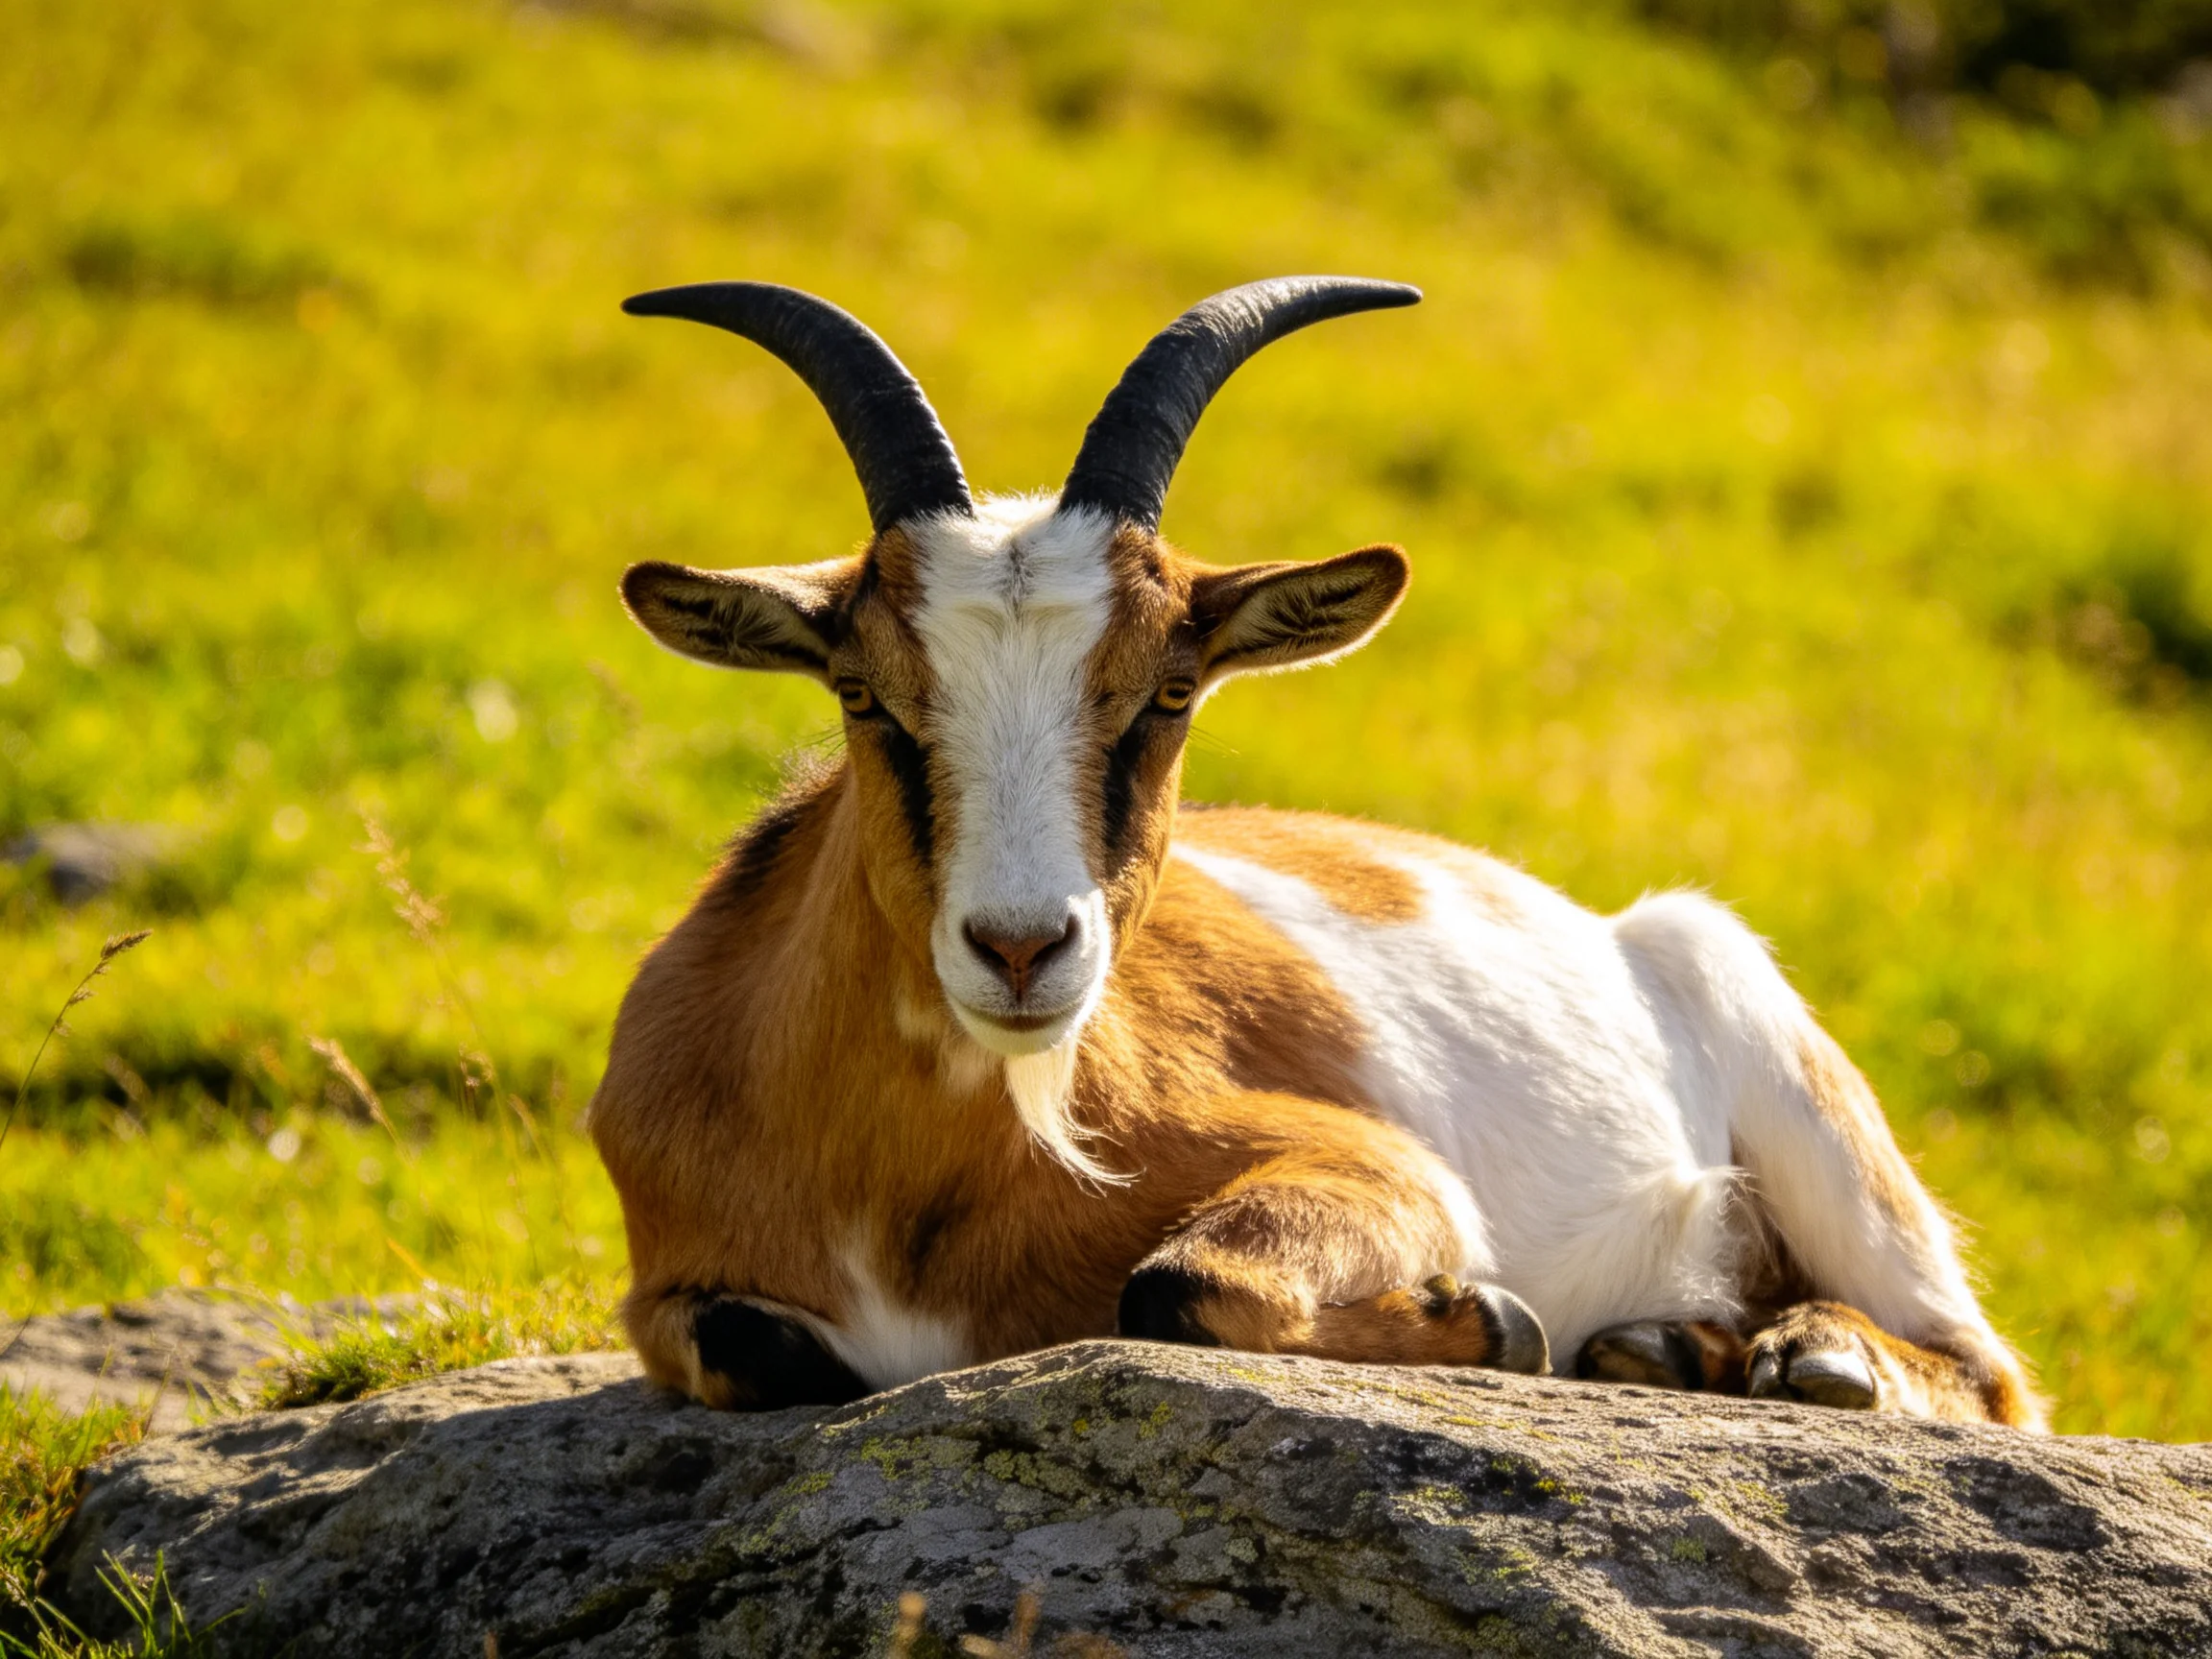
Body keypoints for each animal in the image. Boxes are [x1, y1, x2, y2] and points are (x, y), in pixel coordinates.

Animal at [589, 277, 2042, 1428]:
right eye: (865, 693)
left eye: (1170, 692)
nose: (1021, 948)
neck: (906, 1187)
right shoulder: (678, 1286)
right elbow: (756, 1347)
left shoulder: (1383, 1170)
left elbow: (1175, 1282)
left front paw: (1492, 1325)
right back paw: (1669, 1349)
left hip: (1812, 1113)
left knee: (1988, 1371)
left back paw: (1811, 1363)